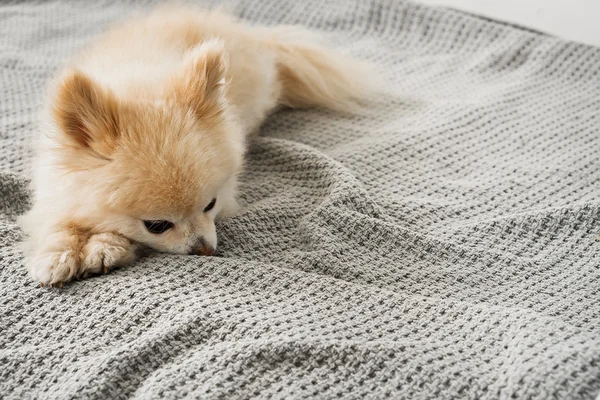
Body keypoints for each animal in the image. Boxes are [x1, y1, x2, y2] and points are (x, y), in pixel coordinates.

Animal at [18, 5, 376, 284]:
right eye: (157, 225)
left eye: (210, 205)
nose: (205, 248)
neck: (137, 82)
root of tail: (255, 36)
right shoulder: (54, 185)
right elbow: (58, 220)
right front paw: (58, 253)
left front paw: (104, 246)